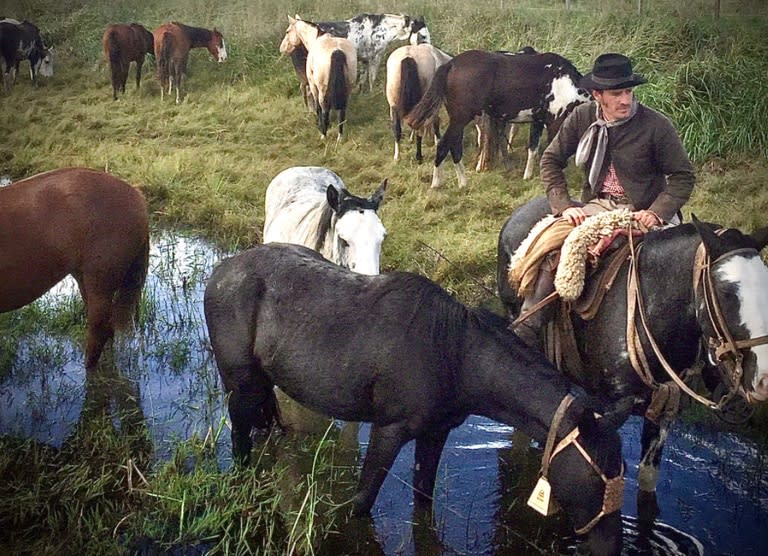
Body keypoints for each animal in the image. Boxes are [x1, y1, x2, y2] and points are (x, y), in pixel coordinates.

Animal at [207, 243, 628, 556]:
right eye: (598, 474)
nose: (611, 547)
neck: (455, 354)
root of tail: (221, 272)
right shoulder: (389, 430)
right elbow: (362, 501)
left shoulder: (435, 433)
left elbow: (423, 498)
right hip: (239, 385)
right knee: (240, 444)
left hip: (260, 386)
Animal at [404, 50, 592, 189]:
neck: (567, 82)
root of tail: (451, 64)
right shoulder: (555, 123)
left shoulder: (538, 121)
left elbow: (533, 149)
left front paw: (527, 176)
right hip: (460, 119)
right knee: (444, 145)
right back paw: (437, 183)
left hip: (459, 120)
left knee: (454, 146)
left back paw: (463, 182)